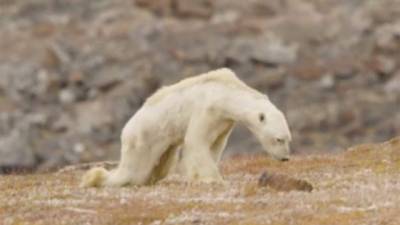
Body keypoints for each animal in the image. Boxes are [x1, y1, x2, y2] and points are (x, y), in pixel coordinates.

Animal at [80, 67, 290, 187]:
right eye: (278, 139)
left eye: (288, 139)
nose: (285, 158)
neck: (225, 92)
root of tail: (126, 131)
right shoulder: (207, 109)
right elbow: (197, 141)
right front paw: (212, 179)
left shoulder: (224, 121)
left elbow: (215, 145)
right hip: (143, 138)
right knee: (134, 171)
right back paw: (96, 178)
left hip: (162, 145)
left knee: (161, 165)